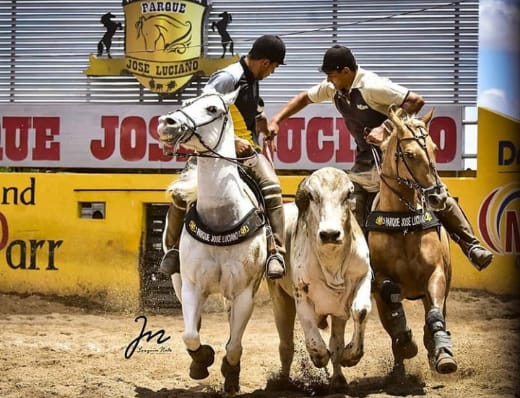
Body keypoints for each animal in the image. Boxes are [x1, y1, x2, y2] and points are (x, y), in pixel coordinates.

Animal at [156, 88, 266, 396]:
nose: (166, 122)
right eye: (186, 102)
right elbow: (190, 334)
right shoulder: (192, 285)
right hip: (178, 281)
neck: (221, 220)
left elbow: (234, 345)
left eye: (212, 108)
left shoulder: (244, 292)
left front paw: (231, 376)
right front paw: (201, 359)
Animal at [266, 167, 372, 392]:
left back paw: (338, 379)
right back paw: (283, 381)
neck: (331, 264)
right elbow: (312, 335)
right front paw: (319, 357)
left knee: (335, 343)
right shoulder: (300, 293)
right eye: (312, 196)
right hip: (279, 299)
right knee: (286, 345)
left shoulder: (363, 276)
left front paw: (351, 356)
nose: (330, 234)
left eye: (347, 194)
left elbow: (360, 311)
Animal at [368, 105, 458, 376]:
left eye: (435, 148)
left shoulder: (436, 274)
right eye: (409, 154)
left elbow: (435, 315)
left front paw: (443, 355)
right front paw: (407, 344)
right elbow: (391, 295)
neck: (404, 227)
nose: (438, 197)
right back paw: (399, 365)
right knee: (392, 328)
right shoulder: (380, 277)